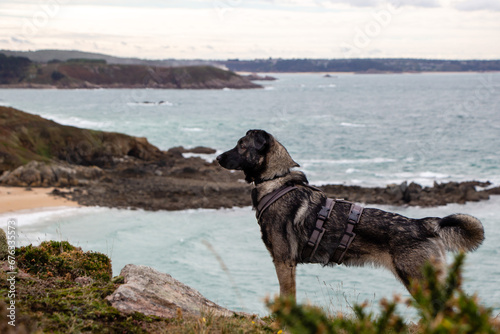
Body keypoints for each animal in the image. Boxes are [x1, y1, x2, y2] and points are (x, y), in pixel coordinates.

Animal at [216, 129, 484, 298]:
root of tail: (422, 224)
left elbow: (287, 297)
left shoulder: (284, 261)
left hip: (419, 280)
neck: (276, 182)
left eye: (241, 145)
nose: (217, 157)